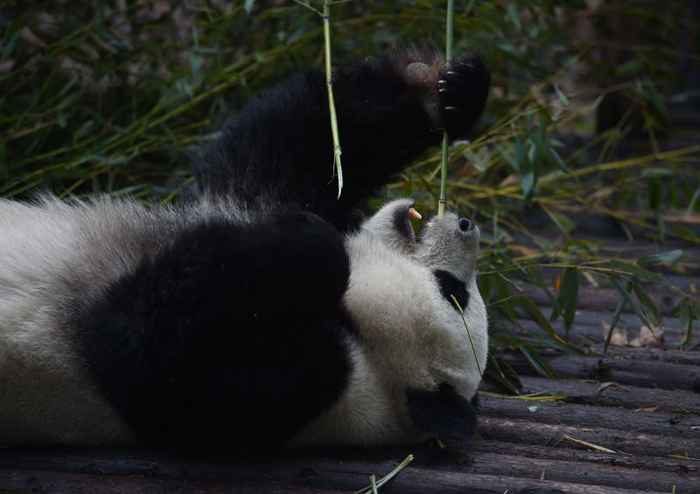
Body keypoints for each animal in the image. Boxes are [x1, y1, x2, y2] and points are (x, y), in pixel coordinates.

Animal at [0, 48, 492, 450]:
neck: (370, 353)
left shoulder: (288, 390)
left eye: (451, 291)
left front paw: (314, 245)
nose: (467, 226)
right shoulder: (251, 199)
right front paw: (448, 90)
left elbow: (135, 347)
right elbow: (288, 148)